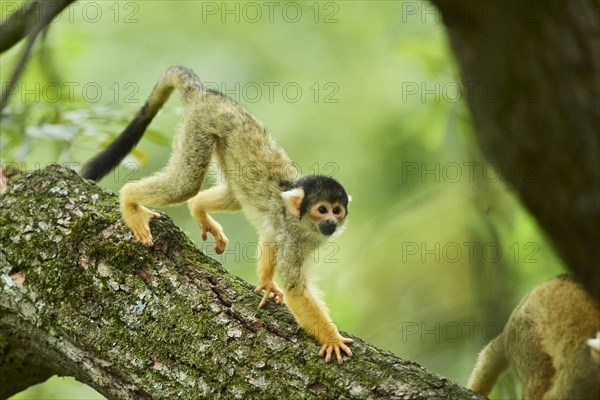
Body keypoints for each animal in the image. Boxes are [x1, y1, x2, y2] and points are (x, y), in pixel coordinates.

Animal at [86, 65, 354, 362]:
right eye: (322, 210)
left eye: (337, 211)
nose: (331, 222)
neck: (302, 224)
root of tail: (206, 93)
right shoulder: (295, 237)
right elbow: (296, 289)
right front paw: (331, 339)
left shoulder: (288, 231)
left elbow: (269, 235)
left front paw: (266, 282)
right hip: (197, 127)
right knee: (186, 183)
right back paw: (130, 200)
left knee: (233, 194)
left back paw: (198, 208)